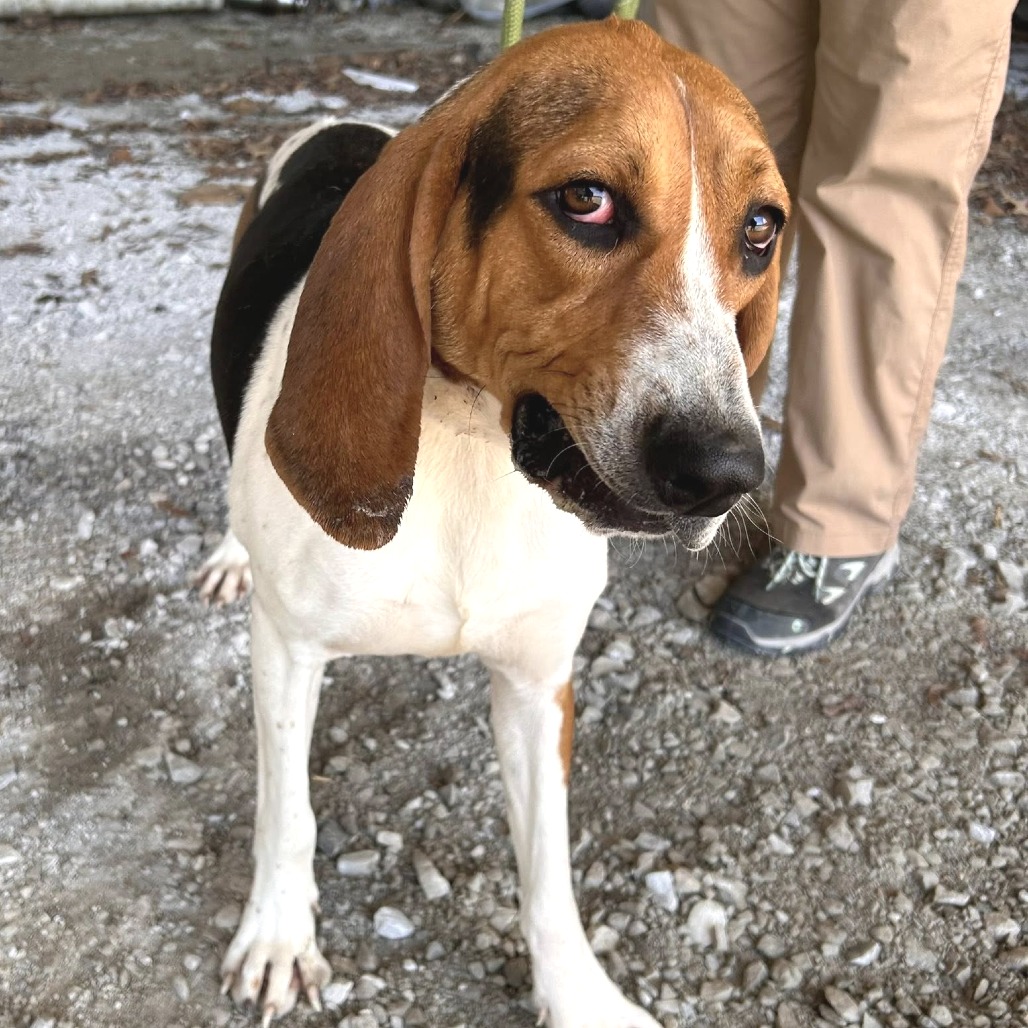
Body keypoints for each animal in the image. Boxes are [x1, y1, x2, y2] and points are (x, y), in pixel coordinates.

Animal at [197, 17, 788, 1027]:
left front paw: (577, 993)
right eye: (586, 199)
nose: (726, 472)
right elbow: (288, 813)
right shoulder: (286, 653)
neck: (475, 451)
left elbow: (548, 870)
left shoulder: (538, 684)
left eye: (761, 228)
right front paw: (277, 934)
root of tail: (340, 123)